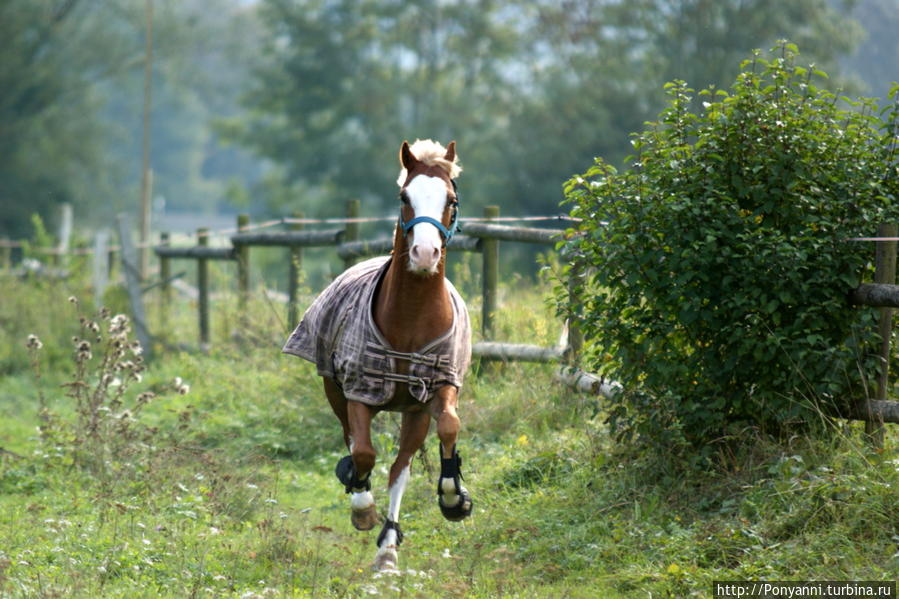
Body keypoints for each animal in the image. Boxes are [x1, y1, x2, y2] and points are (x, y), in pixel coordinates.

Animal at [284, 138, 474, 568]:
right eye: (405, 196)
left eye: (451, 200)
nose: (424, 253)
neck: (412, 319)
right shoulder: (358, 391)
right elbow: (364, 452)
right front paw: (362, 508)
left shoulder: (440, 387)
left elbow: (448, 427)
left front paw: (453, 497)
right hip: (336, 393)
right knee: (355, 444)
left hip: (413, 412)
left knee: (400, 467)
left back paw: (388, 547)